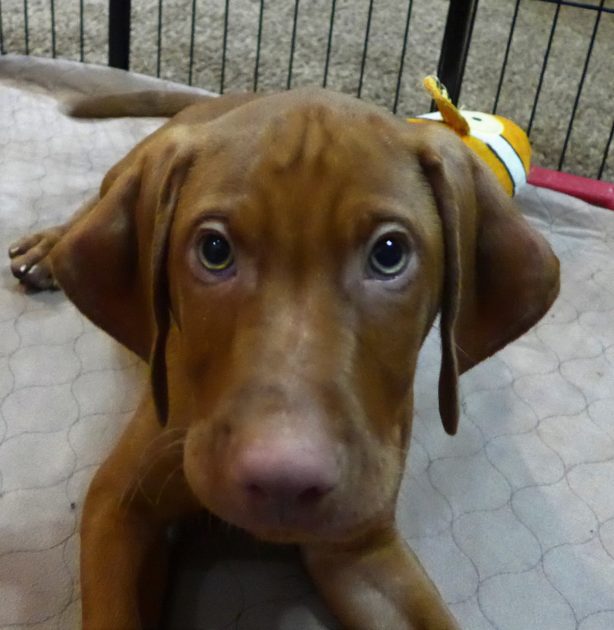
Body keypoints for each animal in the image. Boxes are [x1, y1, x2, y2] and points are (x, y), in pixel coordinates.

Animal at [9, 87, 560, 629]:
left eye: (389, 253)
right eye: (214, 249)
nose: (283, 482)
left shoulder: (358, 543)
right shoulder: (119, 507)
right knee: (96, 205)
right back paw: (49, 247)